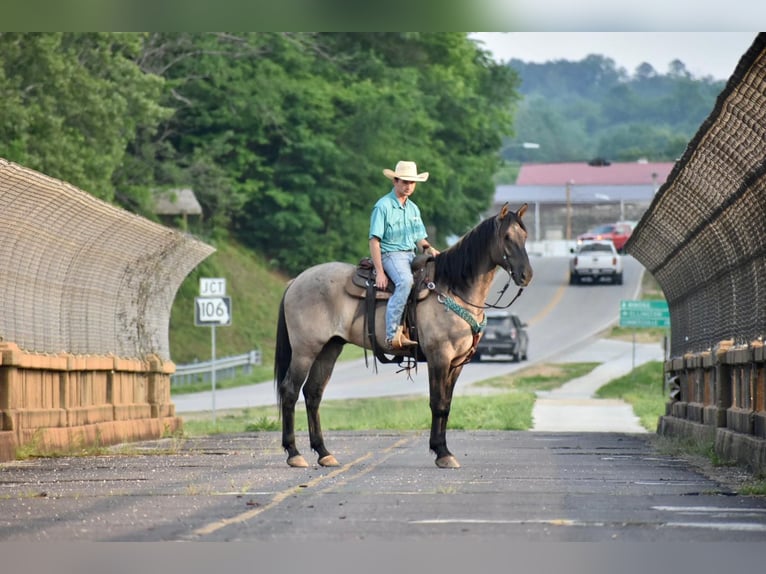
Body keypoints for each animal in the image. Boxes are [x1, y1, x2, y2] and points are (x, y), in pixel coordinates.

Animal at [276, 205, 536, 470]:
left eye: (524, 236)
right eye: (507, 237)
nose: (526, 275)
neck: (452, 289)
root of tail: (296, 281)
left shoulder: (457, 363)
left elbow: (447, 404)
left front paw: (443, 450)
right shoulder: (439, 357)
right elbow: (438, 403)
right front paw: (442, 452)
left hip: (329, 348)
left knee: (313, 393)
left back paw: (324, 452)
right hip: (305, 350)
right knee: (290, 391)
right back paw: (294, 453)